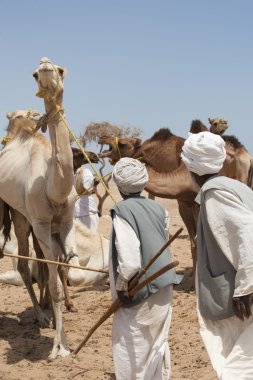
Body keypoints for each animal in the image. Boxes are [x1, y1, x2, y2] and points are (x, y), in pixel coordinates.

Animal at [0, 58, 83, 360]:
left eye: (60, 70)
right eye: (36, 74)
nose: (45, 65)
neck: (52, 184)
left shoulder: (67, 219)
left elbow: (67, 268)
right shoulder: (41, 222)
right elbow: (55, 281)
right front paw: (60, 347)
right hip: (20, 216)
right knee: (25, 265)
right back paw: (41, 316)